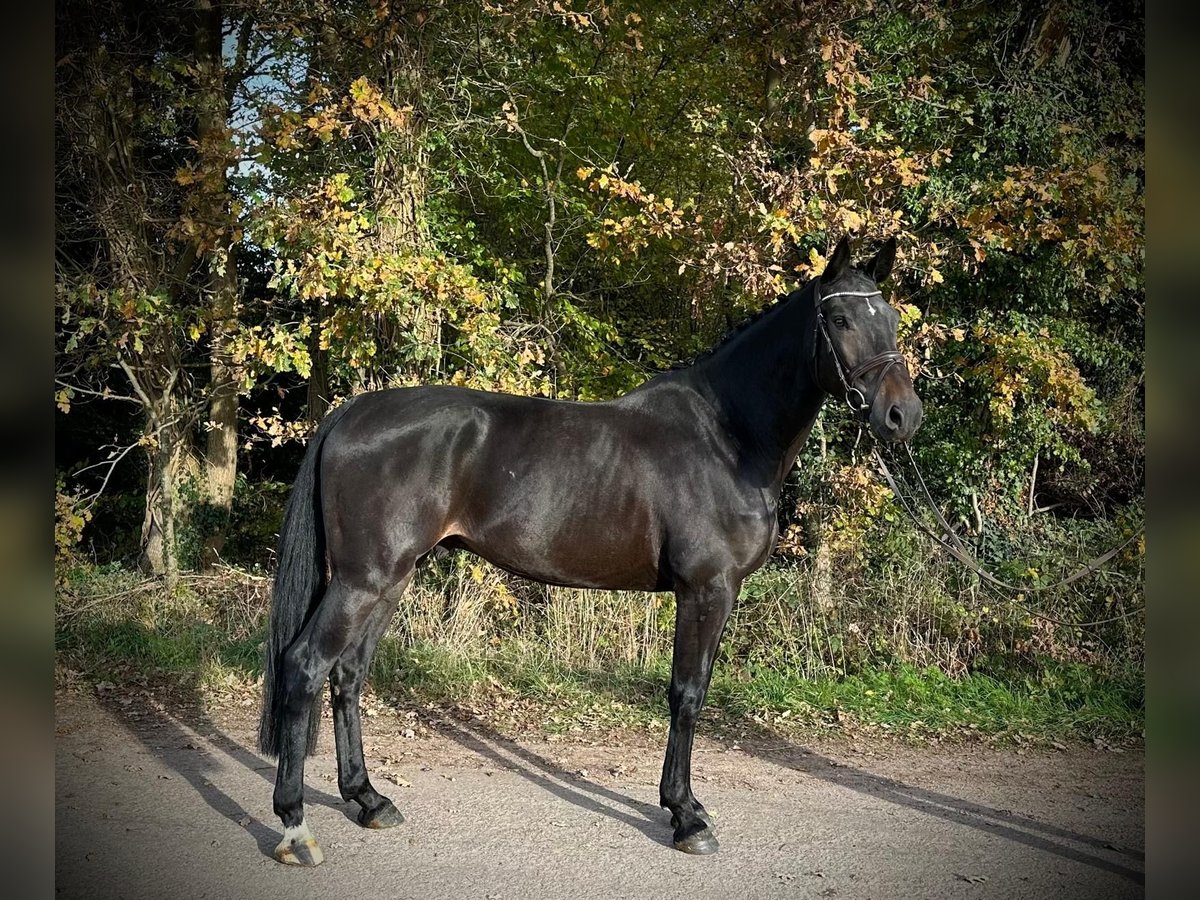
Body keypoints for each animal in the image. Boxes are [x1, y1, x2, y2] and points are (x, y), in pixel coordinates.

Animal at [258, 235, 922, 865]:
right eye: (840, 320)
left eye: (891, 318)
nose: (902, 415)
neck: (726, 438)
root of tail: (353, 412)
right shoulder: (706, 589)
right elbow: (687, 694)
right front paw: (686, 817)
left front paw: (686, 806)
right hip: (362, 580)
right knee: (306, 666)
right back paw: (295, 826)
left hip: (392, 579)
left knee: (348, 674)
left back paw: (369, 800)